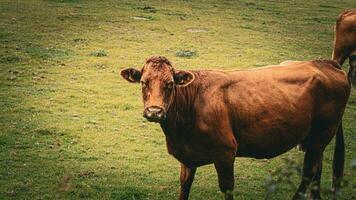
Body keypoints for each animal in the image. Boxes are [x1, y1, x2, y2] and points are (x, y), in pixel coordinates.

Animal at [120, 55, 350, 200]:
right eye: (143, 82)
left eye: (170, 84)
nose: (154, 111)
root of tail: (327, 63)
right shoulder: (188, 157)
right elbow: (185, 186)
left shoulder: (225, 152)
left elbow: (227, 188)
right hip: (315, 139)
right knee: (316, 170)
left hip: (321, 134)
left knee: (309, 172)